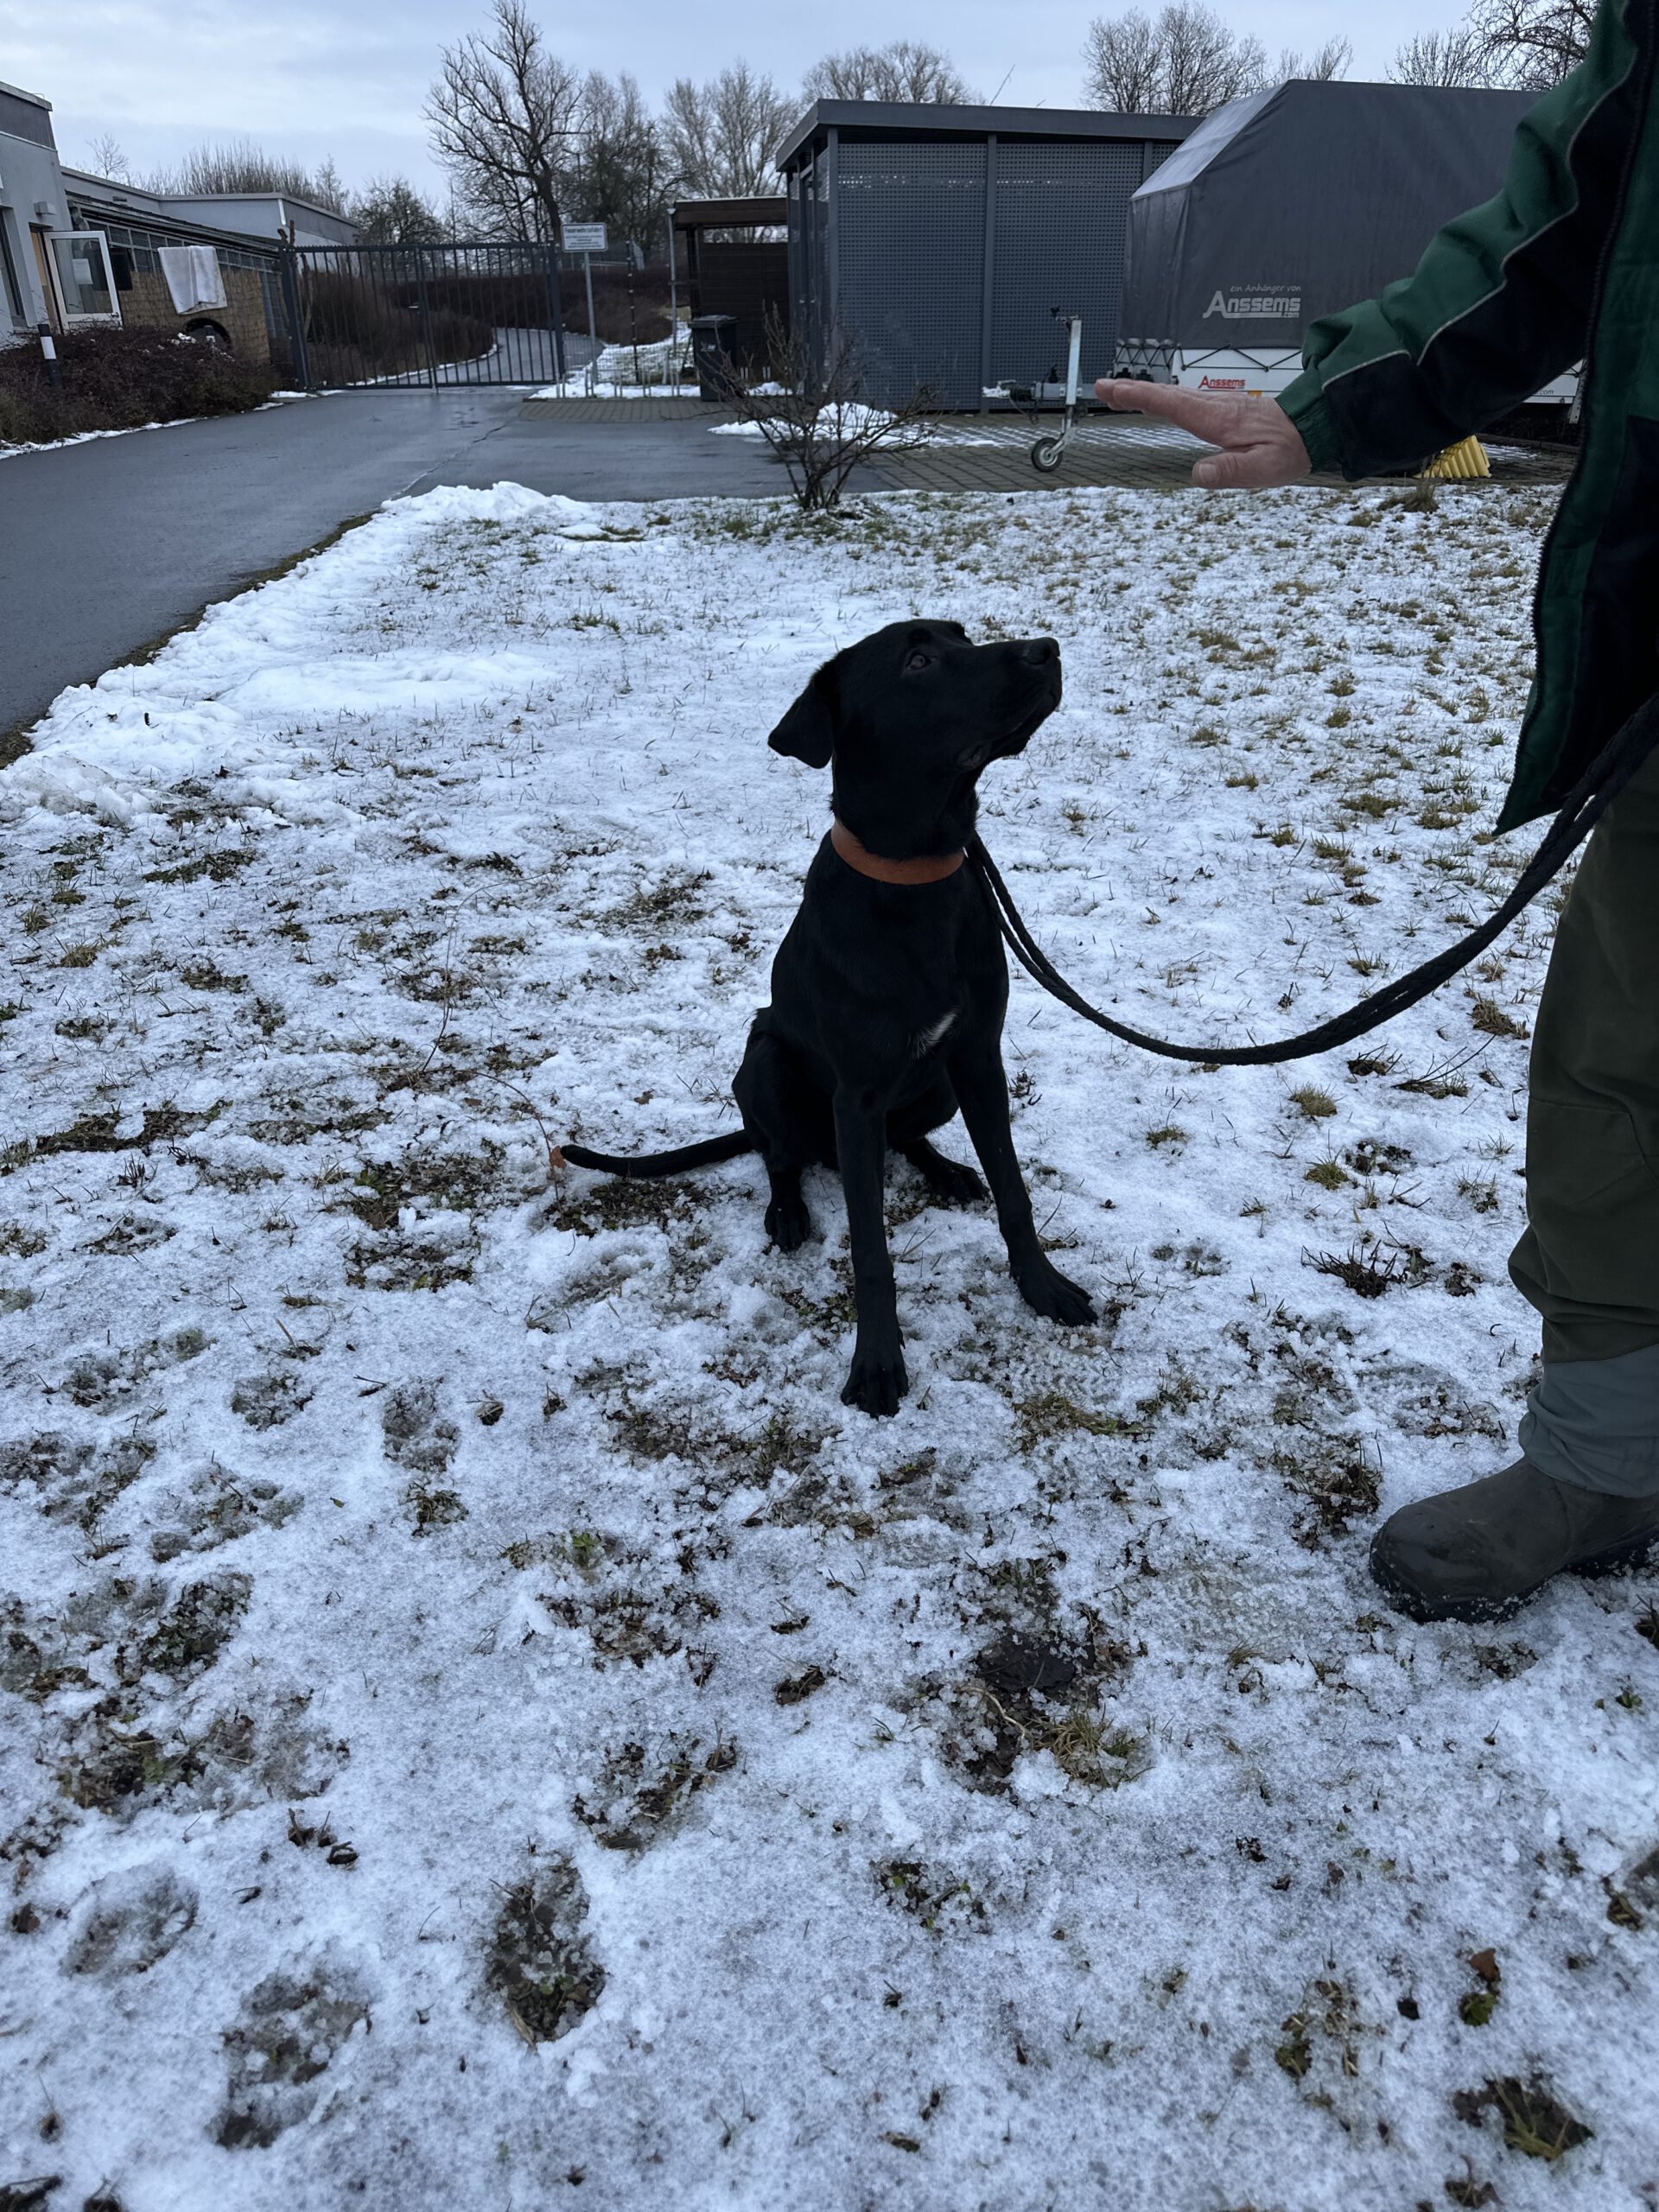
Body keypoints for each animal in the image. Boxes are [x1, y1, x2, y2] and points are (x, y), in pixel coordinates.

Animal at [562, 619, 1096, 1415]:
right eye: (917, 660)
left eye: (963, 635)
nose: (1048, 650)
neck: (918, 873)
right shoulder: (857, 1094)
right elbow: (871, 1249)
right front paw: (875, 1364)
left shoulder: (977, 1058)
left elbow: (1014, 1192)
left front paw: (1042, 1287)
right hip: (765, 1065)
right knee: (778, 1154)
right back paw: (787, 1211)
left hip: (935, 1085)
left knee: (898, 1142)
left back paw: (945, 1171)